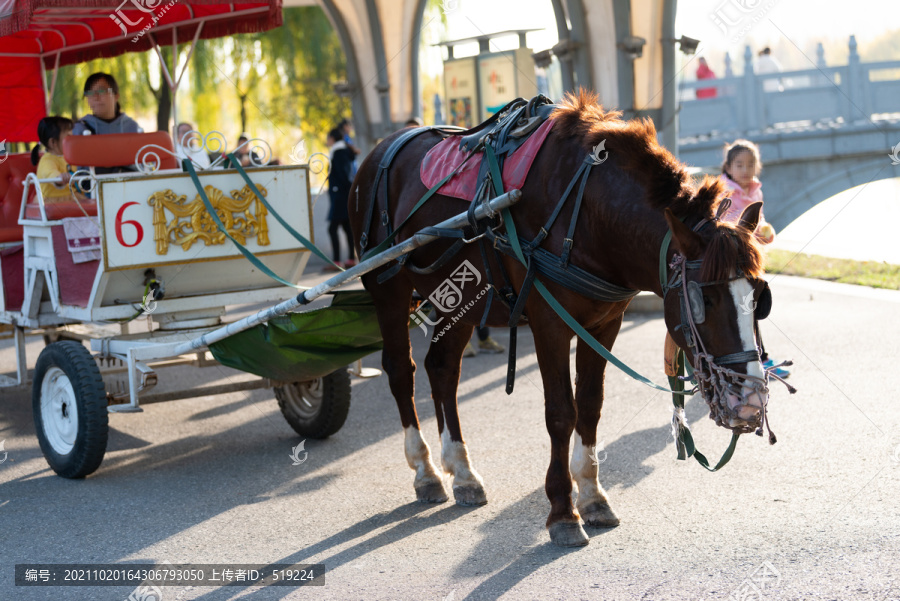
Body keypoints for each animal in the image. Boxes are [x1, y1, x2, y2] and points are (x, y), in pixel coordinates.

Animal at [348, 91, 768, 548]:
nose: (750, 402)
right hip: (389, 291)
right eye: (703, 297)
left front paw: (592, 494)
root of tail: (379, 150)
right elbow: (561, 413)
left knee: (442, 370)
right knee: (400, 371)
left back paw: (461, 470)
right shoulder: (549, 322)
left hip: (458, 299)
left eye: (759, 297)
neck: (591, 213)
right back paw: (425, 470)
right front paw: (563, 510)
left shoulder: (604, 323)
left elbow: (590, 405)